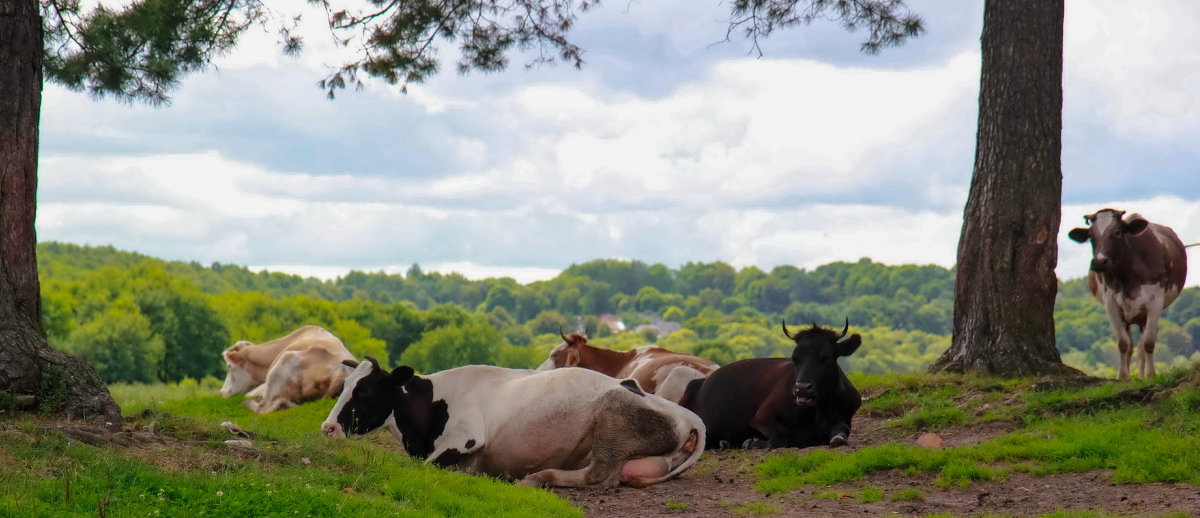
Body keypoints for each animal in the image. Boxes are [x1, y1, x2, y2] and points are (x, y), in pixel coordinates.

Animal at [324, 357, 705, 486]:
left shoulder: (466, 439)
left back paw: (537, 477)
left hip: (613, 413)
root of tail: (690, 417)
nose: (327, 429)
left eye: (364, 391)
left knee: (601, 475)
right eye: (343, 385)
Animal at [676, 316, 864, 446]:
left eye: (827, 357)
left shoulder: (845, 416)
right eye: (795, 358)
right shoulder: (763, 417)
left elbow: (841, 431)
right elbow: (781, 438)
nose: (802, 388)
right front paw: (752, 442)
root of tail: (699, 382)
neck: (819, 414)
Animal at [1070, 209, 1190, 381]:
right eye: (1091, 236)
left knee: (1141, 348)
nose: (1099, 262)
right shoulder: (1111, 303)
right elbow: (1123, 343)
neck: (1127, 275)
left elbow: (1148, 343)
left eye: (1117, 232)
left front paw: (1151, 374)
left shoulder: (1155, 302)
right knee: (1132, 346)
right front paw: (1123, 376)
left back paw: (1142, 375)